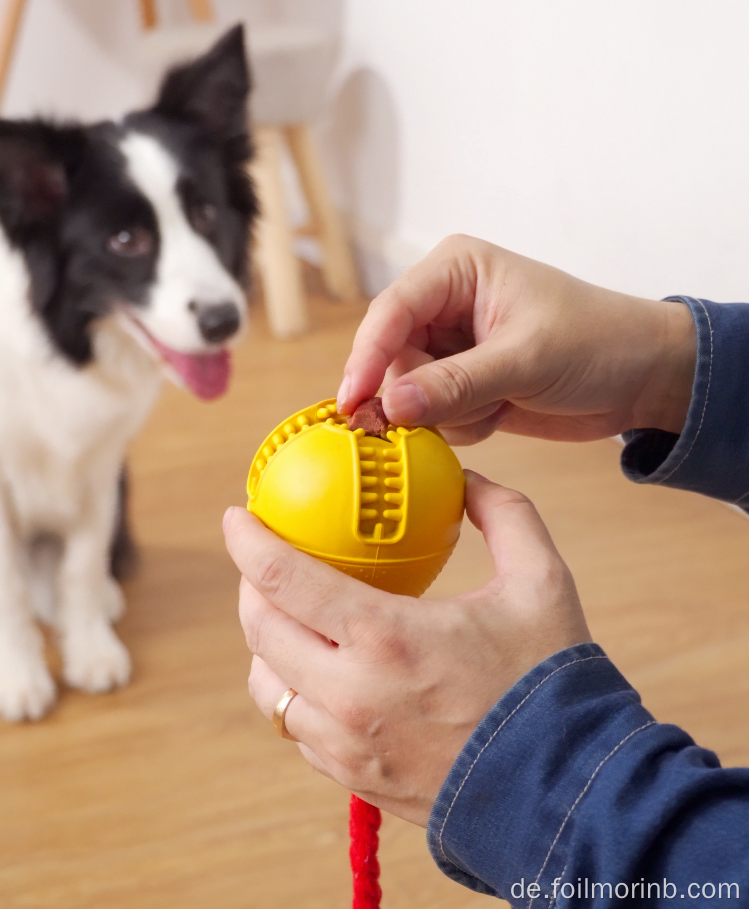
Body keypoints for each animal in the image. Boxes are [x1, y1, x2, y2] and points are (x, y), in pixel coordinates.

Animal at [0, 24, 258, 720]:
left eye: (206, 213)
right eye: (125, 241)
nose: (224, 321)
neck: (64, 341)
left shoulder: (100, 462)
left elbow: (84, 562)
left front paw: (91, 650)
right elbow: (7, 588)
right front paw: (20, 679)